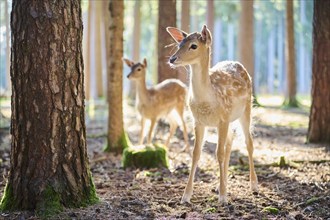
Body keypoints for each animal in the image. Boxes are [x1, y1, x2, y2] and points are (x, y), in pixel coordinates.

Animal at [168, 24, 258, 205]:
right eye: (179, 44)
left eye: (193, 45)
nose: (172, 59)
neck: (207, 99)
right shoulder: (199, 121)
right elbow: (196, 154)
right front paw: (185, 196)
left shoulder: (222, 119)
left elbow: (219, 153)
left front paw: (223, 198)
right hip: (230, 119)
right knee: (230, 144)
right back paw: (221, 185)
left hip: (246, 109)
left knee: (248, 143)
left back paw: (253, 185)